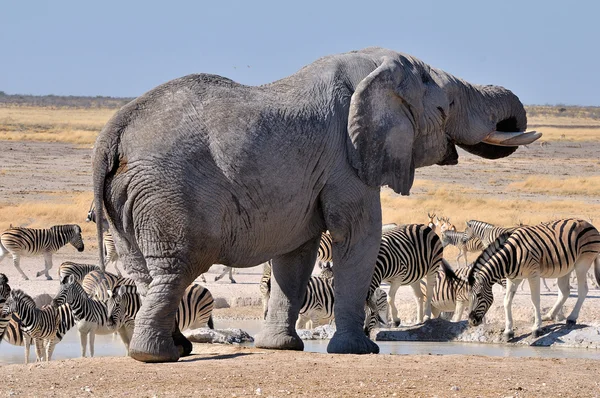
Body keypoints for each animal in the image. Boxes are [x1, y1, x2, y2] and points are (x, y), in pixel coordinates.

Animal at [92, 47, 540, 364]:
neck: (369, 69)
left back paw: (174, 348)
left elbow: (295, 256)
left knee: (145, 272)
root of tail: (113, 134)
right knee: (176, 268)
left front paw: (280, 348)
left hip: (130, 199)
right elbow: (358, 236)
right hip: (166, 192)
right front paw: (360, 351)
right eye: (446, 108)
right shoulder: (346, 159)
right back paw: (158, 356)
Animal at [468, 219, 600, 340]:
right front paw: (508, 331)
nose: (471, 321)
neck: (511, 256)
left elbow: (535, 300)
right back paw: (549, 315)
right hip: (566, 267)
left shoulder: (533, 275)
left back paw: (572, 318)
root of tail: (589, 224)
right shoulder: (513, 278)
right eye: (469, 296)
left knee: (583, 290)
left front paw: (536, 328)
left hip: (582, 263)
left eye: (479, 295)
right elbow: (507, 301)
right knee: (564, 291)